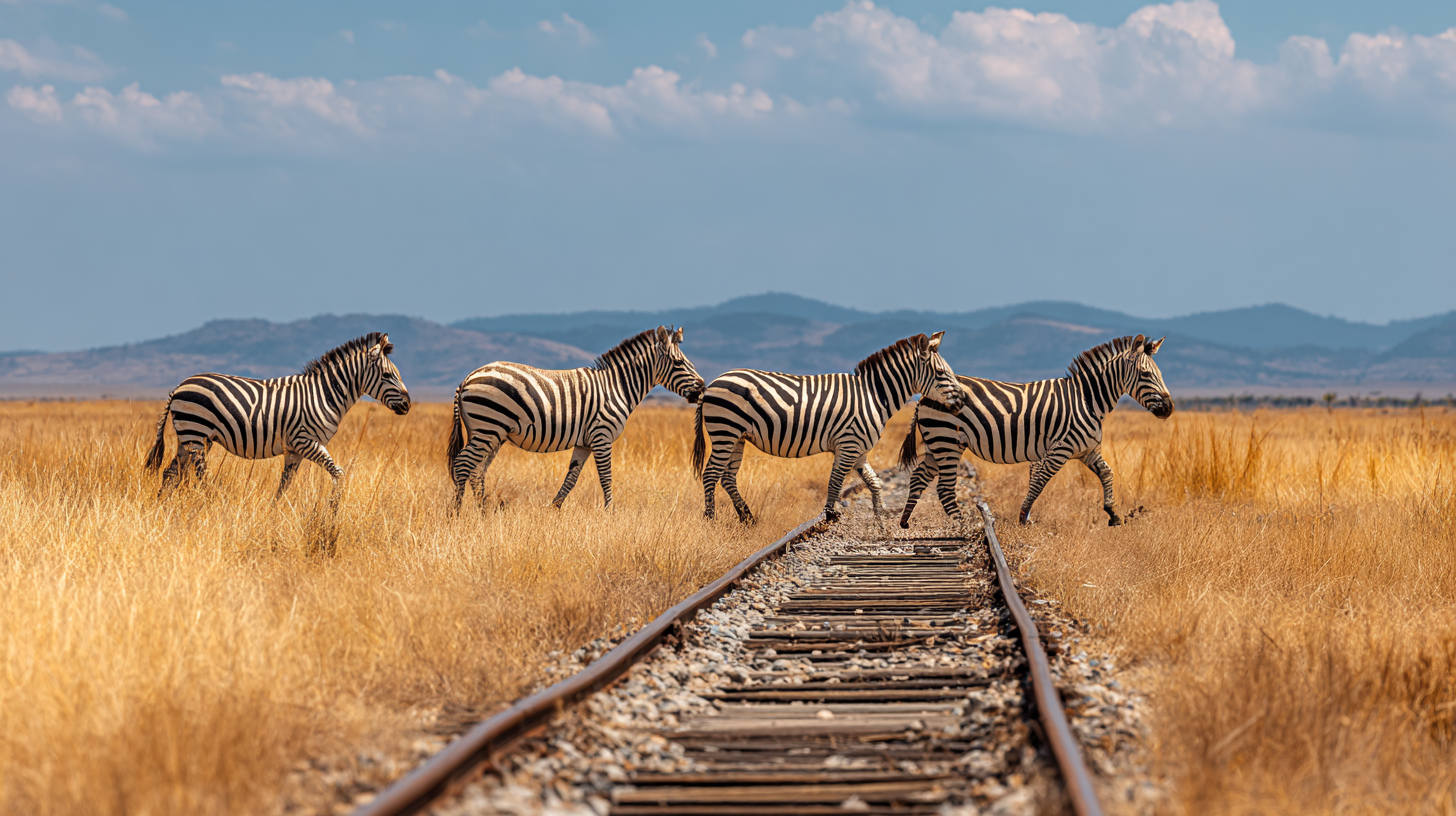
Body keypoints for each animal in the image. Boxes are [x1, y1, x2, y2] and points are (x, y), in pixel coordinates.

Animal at [144, 332, 411, 499]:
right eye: (387, 375)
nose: (408, 405)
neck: (325, 394)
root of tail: (178, 387)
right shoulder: (306, 441)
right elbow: (339, 475)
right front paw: (331, 513)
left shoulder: (294, 450)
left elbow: (283, 488)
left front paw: (274, 518)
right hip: (196, 434)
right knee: (200, 478)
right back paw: (208, 506)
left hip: (189, 438)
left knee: (170, 474)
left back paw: (163, 511)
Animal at [447, 326, 704, 511]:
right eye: (679, 363)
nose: (702, 388)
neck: (616, 387)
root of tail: (467, 378)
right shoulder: (602, 436)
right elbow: (606, 477)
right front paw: (610, 513)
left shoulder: (584, 443)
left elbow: (571, 478)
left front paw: (554, 509)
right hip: (488, 428)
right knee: (463, 464)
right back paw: (455, 513)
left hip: (491, 433)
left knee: (477, 470)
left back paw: (482, 512)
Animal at [692, 332, 964, 523]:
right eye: (941, 373)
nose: (962, 400)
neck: (874, 395)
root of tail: (712, 384)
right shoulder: (848, 445)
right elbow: (835, 483)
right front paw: (829, 516)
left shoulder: (860, 451)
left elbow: (875, 483)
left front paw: (880, 524)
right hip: (725, 431)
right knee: (711, 474)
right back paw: (710, 520)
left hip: (737, 437)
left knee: (727, 477)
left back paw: (747, 518)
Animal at [897, 334, 1173, 528]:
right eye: (1146, 374)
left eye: (1159, 373)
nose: (1169, 408)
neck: (1087, 399)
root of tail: (924, 396)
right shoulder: (1060, 449)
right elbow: (1039, 482)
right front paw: (1023, 518)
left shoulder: (1086, 450)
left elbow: (1107, 473)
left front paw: (1113, 515)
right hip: (947, 441)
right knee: (943, 488)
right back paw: (961, 525)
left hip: (938, 443)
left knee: (919, 477)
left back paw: (905, 521)